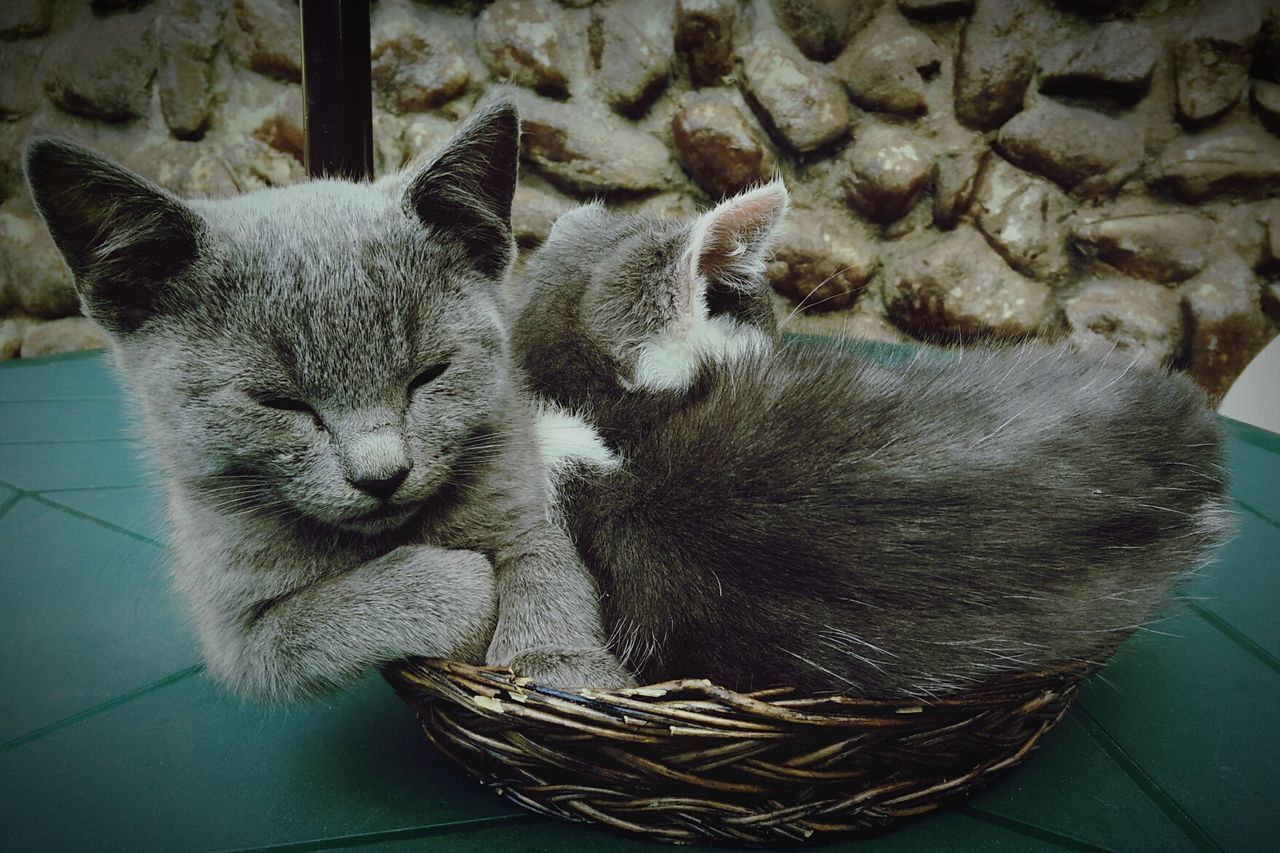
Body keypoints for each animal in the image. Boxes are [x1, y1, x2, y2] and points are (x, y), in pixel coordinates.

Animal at [26, 97, 634, 696]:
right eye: (280, 402)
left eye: (429, 374)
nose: (382, 476)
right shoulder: (240, 638)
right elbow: (335, 614)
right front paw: (460, 586)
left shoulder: (517, 476)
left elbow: (544, 555)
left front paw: (557, 663)